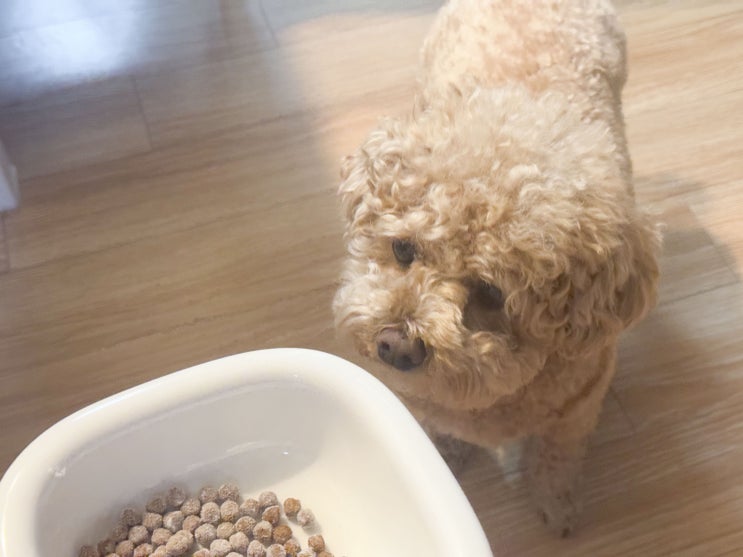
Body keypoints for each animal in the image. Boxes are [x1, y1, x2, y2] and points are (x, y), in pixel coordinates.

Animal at [333, 0, 660, 536]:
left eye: (490, 292)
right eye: (403, 249)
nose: (395, 346)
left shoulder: (578, 407)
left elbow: (556, 457)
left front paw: (556, 505)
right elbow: (437, 430)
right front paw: (444, 455)